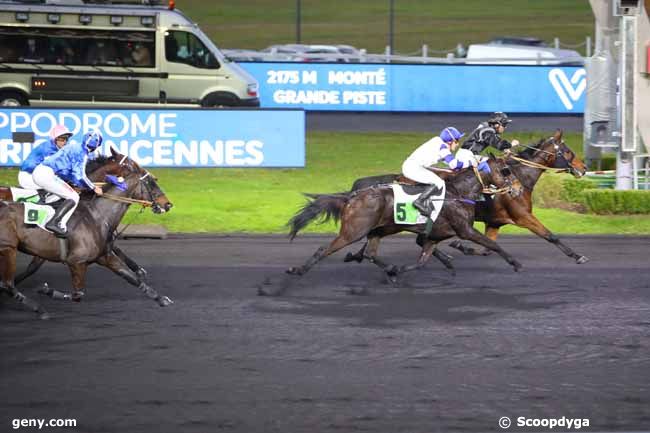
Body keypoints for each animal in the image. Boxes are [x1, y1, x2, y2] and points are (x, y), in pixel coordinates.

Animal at [0, 148, 172, 318]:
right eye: (151, 182)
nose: (168, 204)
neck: (97, 214)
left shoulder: (104, 256)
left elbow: (132, 278)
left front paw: (161, 298)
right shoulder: (75, 262)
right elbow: (77, 295)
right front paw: (46, 290)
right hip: (8, 249)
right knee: (8, 284)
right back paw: (39, 309)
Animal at [258, 155, 520, 294]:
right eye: (506, 170)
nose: (517, 189)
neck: (458, 193)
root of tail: (352, 197)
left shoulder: (433, 236)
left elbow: (422, 261)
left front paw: (398, 271)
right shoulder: (464, 229)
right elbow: (491, 244)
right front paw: (515, 262)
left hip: (378, 230)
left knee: (371, 253)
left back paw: (388, 268)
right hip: (354, 230)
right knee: (325, 250)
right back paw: (296, 271)